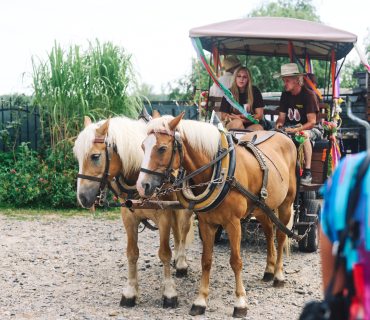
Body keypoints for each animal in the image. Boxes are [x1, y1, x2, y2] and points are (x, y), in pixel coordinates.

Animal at [137, 111, 296, 316]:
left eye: (162, 148)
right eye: (143, 146)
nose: (142, 186)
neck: (220, 170)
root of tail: (283, 135)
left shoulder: (234, 224)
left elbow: (236, 261)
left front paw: (240, 302)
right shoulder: (207, 223)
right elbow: (206, 260)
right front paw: (200, 300)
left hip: (286, 204)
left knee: (281, 236)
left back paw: (278, 275)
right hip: (262, 207)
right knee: (269, 232)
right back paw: (269, 270)